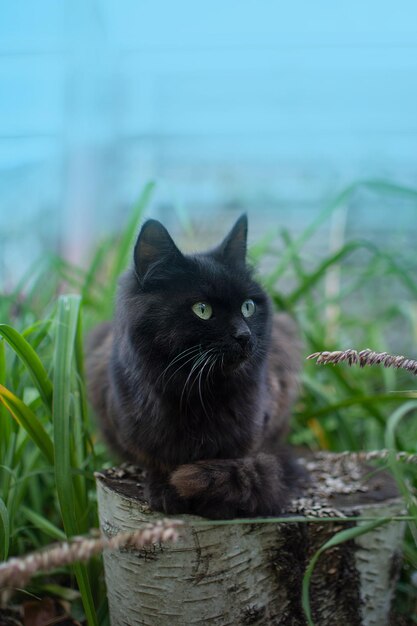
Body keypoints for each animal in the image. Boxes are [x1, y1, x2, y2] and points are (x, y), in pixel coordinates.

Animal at [86, 214, 300, 516]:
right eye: (202, 310)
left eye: (248, 306)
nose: (244, 336)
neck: (198, 392)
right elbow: (156, 459)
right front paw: (165, 489)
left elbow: (235, 463)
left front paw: (217, 498)